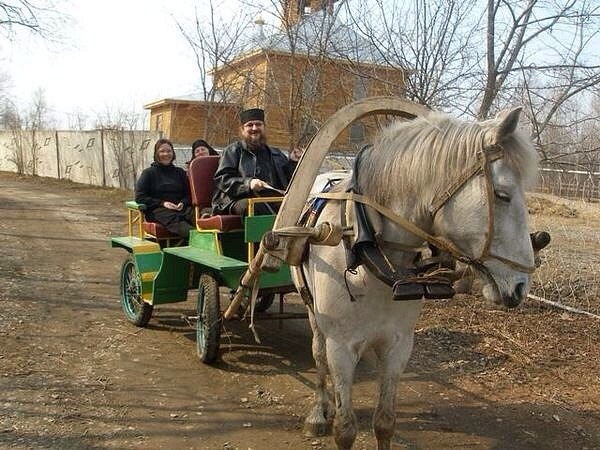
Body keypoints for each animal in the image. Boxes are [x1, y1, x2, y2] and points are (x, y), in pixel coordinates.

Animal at [300, 108, 540, 450]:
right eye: (502, 195)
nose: (521, 285)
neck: (369, 251)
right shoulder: (341, 347)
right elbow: (345, 429)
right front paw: (330, 414)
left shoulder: (398, 346)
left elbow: (385, 422)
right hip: (313, 312)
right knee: (318, 353)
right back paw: (320, 411)